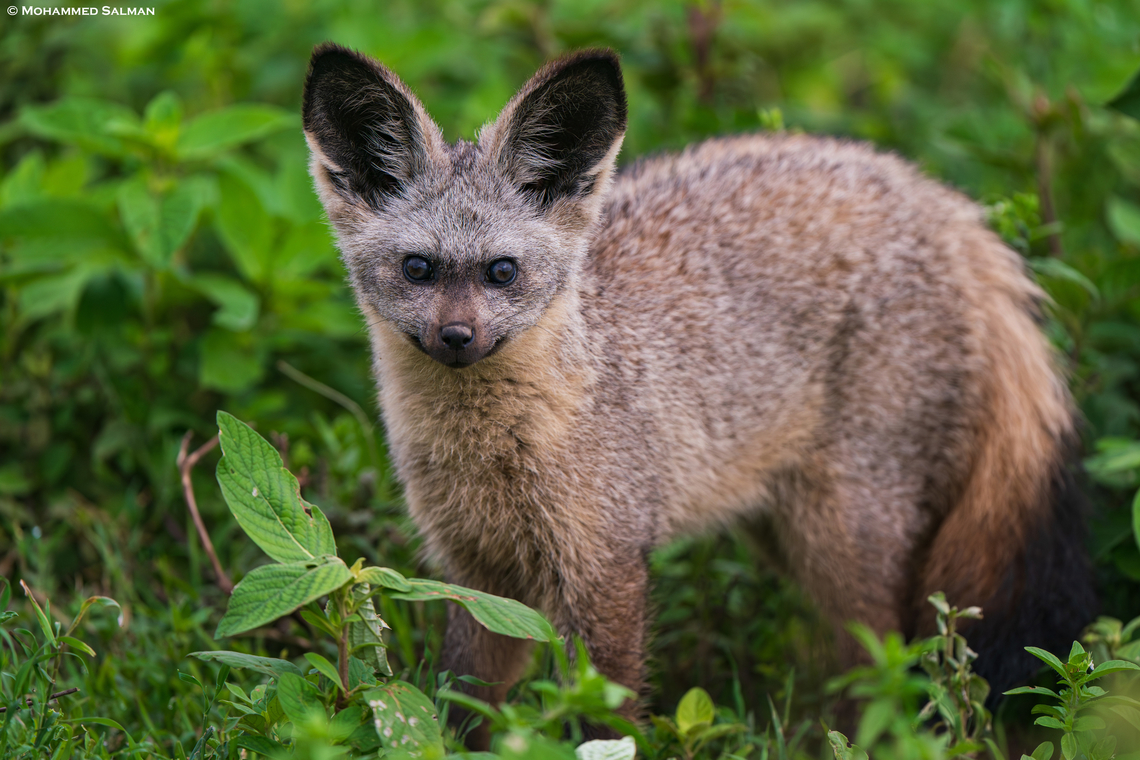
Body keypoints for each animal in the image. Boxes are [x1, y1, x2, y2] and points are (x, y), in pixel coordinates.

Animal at [301, 44, 1096, 746]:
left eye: (502, 271)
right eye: (418, 268)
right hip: (787, 531)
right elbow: (462, 708)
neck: (495, 454)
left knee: (884, 673)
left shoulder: (605, 567)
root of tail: (950, 210)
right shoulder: (471, 574)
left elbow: (605, 720)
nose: (456, 337)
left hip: (845, 536)